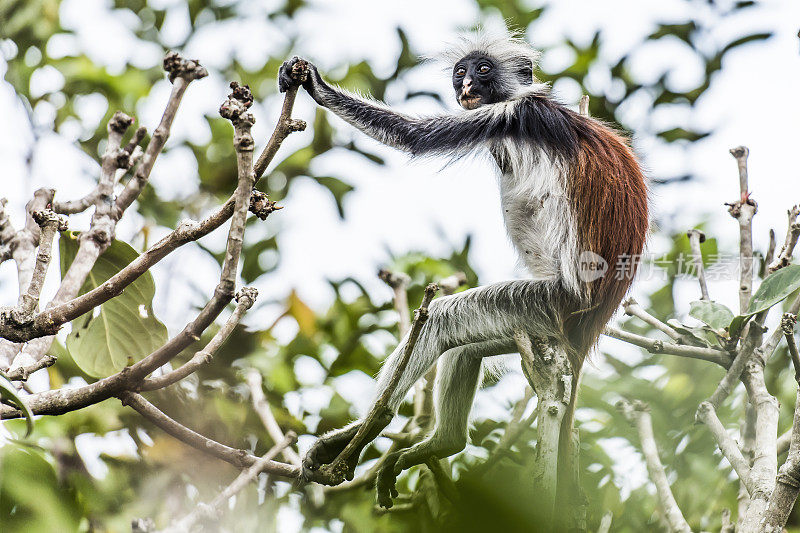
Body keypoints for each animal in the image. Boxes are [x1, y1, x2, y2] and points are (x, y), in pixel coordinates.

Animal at [282, 31, 648, 504]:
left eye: (483, 70)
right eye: (461, 72)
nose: (466, 86)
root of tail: (592, 323)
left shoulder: (512, 115)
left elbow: (414, 137)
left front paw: (315, 84)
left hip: (547, 304)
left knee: (440, 319)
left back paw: (370, 426)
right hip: (532, 325)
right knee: (464, 347)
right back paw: (443, 441)